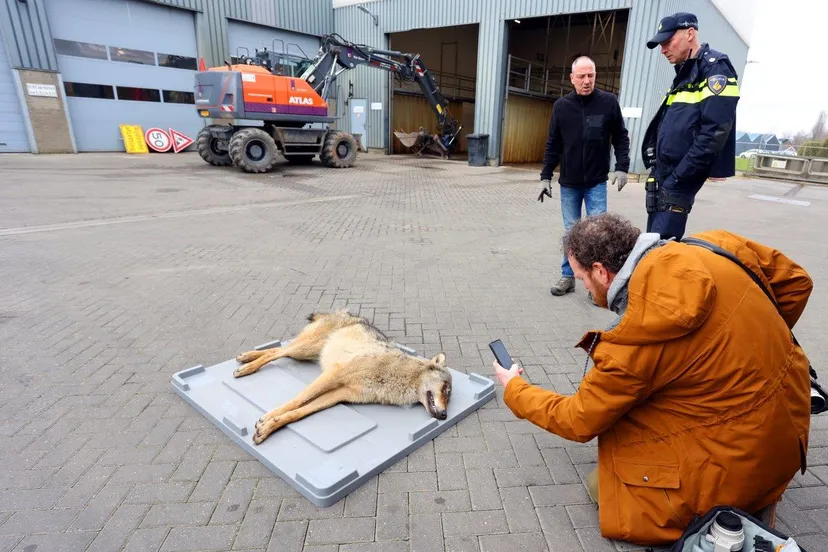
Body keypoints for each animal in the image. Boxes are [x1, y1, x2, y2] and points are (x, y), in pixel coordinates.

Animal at [233, 309, 452, 445]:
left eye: (448, 395)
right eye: (445, 389)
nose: (444, 415)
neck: (395, 377)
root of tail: (342, 311)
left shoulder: (339, 395)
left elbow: (299, 413)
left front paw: (269, 426)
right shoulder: (332, 375)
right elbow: (297, 401)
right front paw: (269, 416)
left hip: (305, 354)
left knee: (277, 350)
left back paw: (246, 357)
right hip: (304, 349)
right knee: (276, 352)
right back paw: (247, 366)